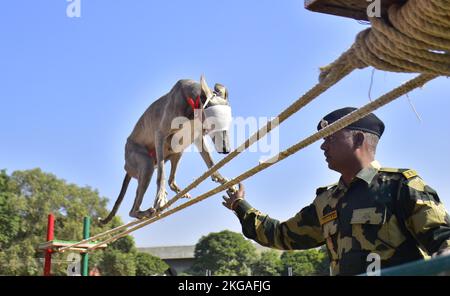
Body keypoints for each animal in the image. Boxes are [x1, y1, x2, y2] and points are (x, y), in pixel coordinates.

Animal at [100, 75, 234, 223]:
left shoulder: (197, 137)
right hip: (144, 161)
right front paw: (160, 199)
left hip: (177, 150)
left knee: (171, 180)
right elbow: (161, 174)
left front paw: (222, 180)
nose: (227, 150)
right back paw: (144, 211)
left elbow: (210, 161)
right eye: (217, 123)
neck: (193, 102)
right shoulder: (160, 135)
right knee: (133, 208)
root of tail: (126, 167)